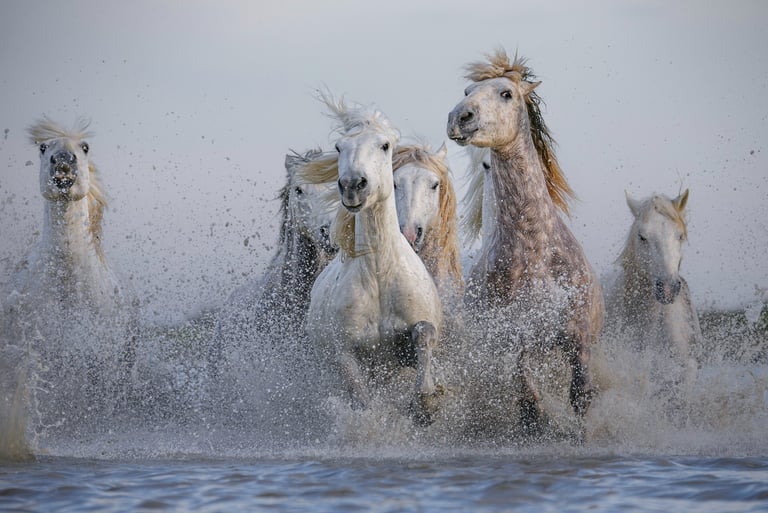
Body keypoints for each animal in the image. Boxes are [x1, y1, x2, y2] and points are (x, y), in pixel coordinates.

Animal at [299, 93, 443, 425]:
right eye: (339, 146)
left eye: (384, 145)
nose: (353, 185)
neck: (379, 273)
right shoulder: (345, 353)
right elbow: (362, 398)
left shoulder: (409, 341)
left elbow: (424, 333)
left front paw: (426, 401)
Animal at [446, 49, 604, 427]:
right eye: (466, 91)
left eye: (506, 93)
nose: (460, 118)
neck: (533, 250)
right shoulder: (516, 342)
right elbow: (529, 400)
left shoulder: (578, 339)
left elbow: (581, 394)